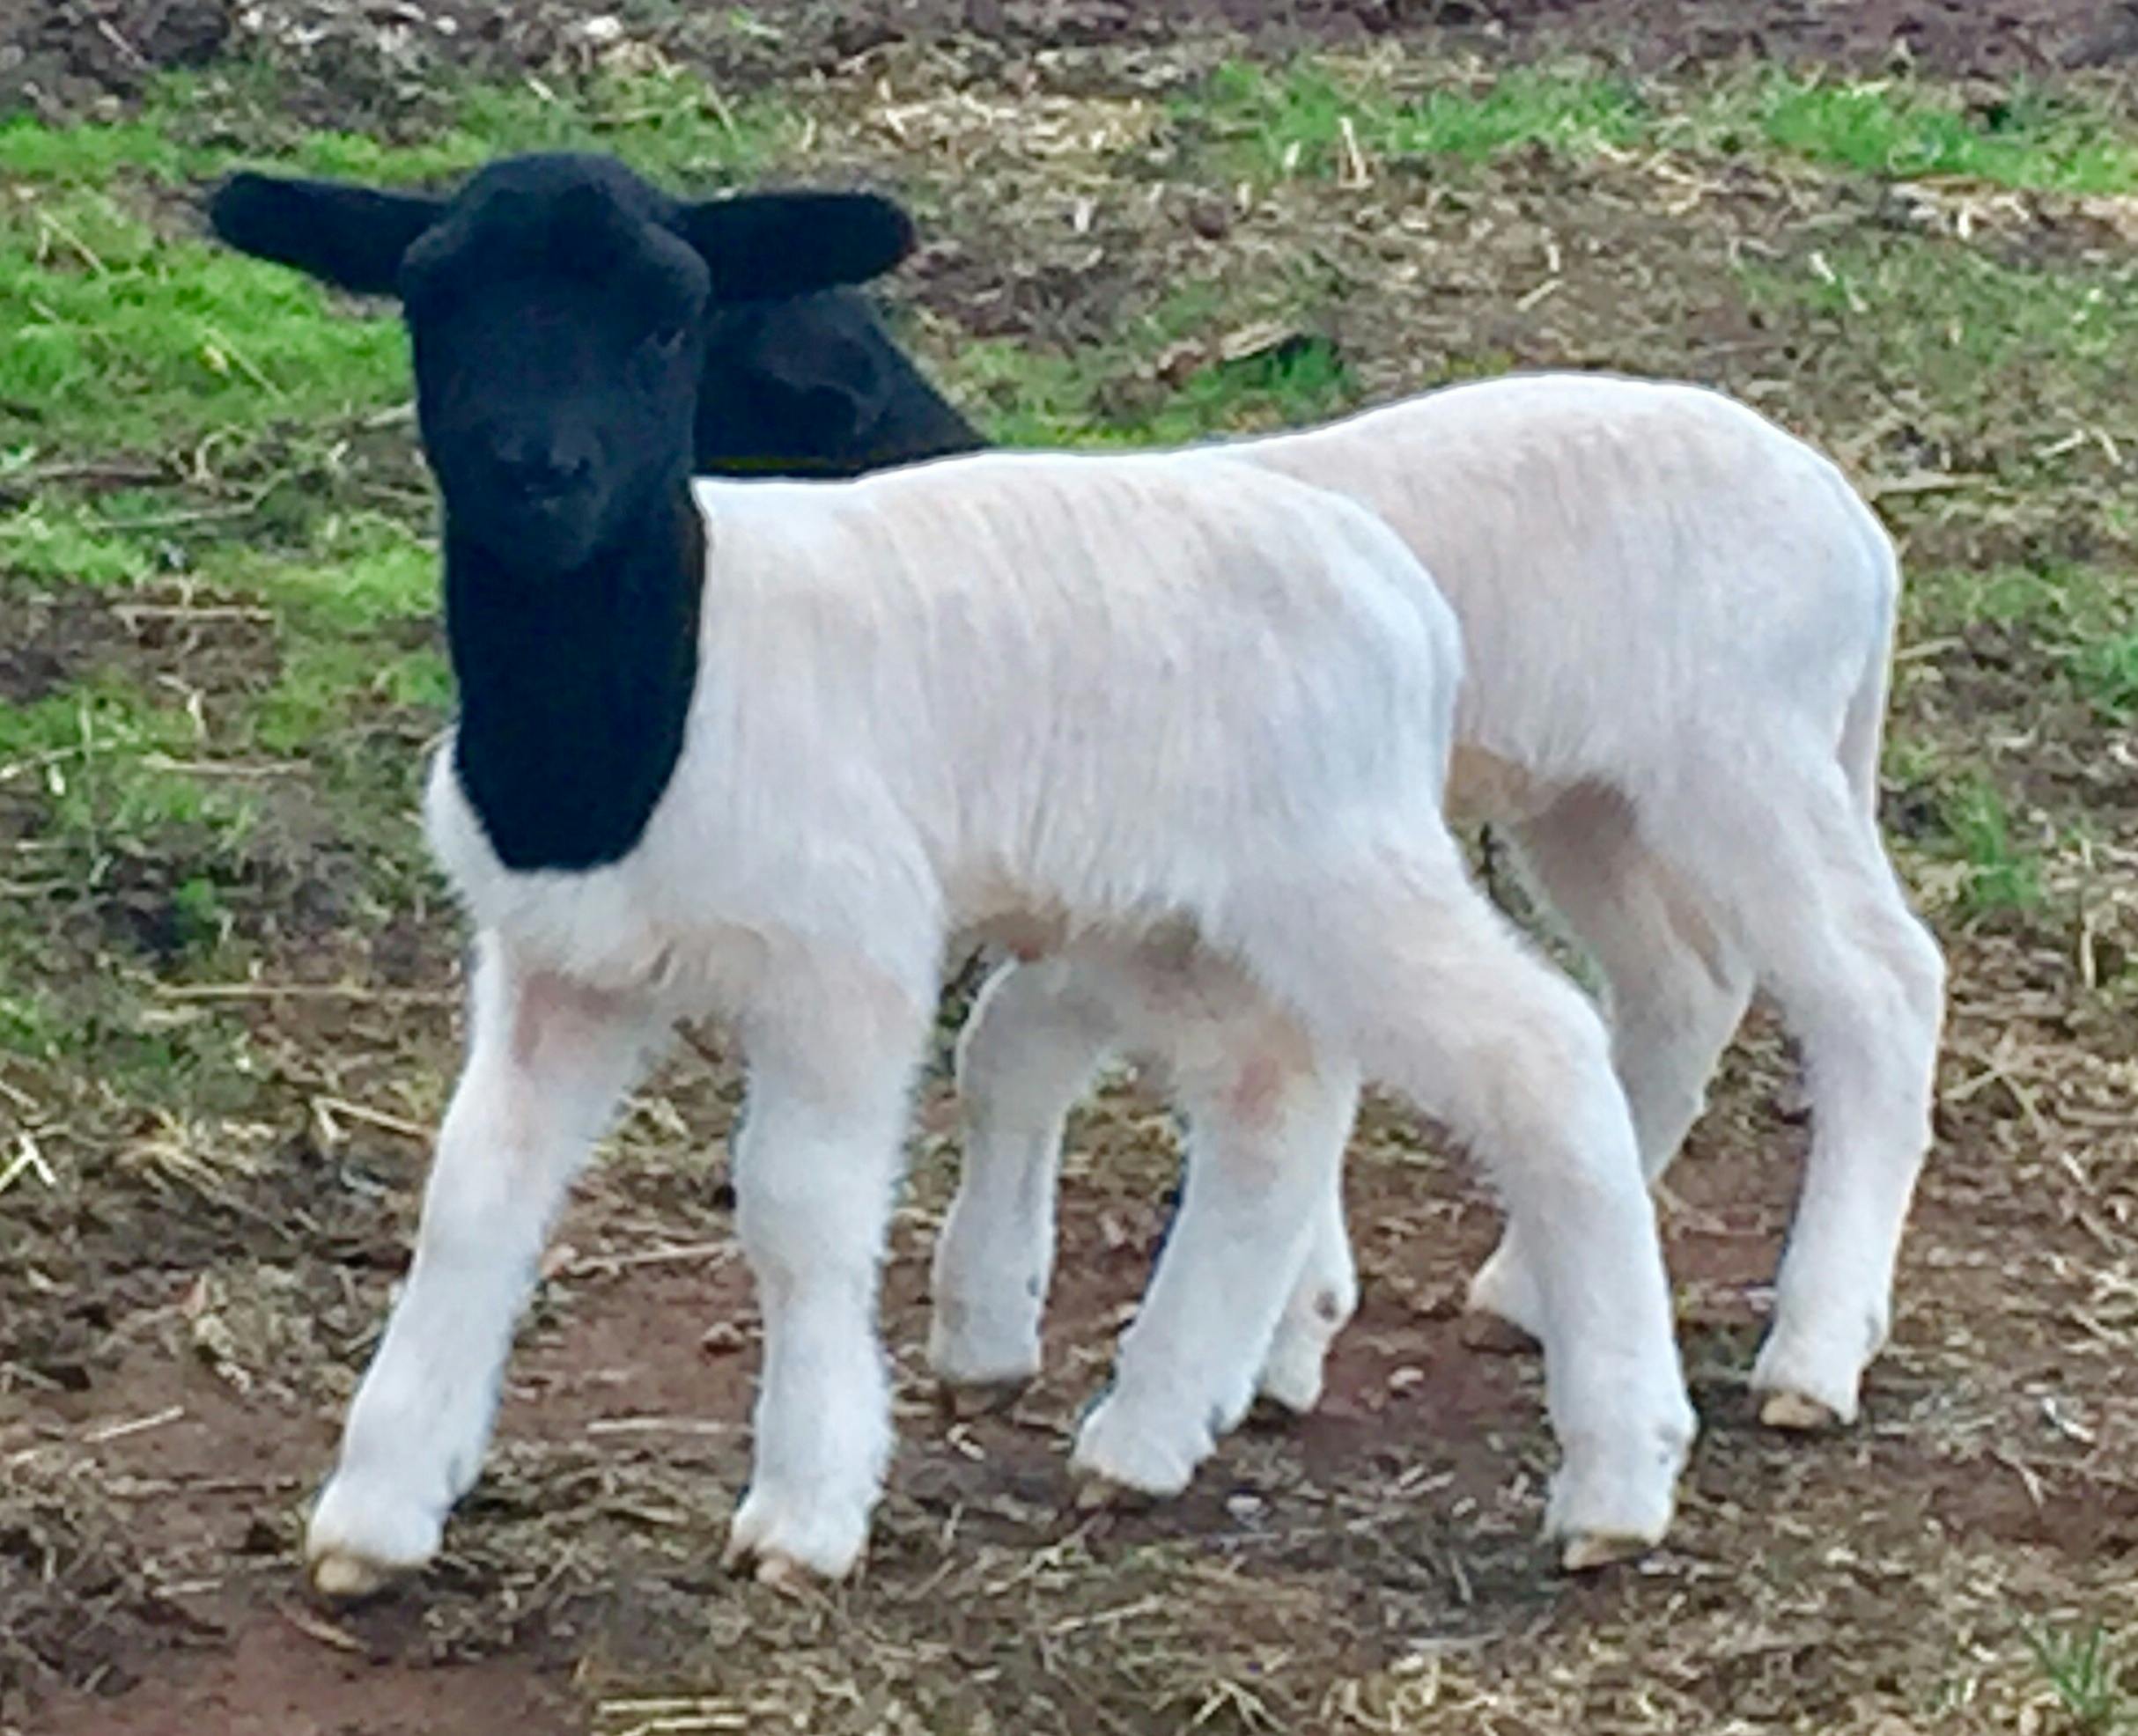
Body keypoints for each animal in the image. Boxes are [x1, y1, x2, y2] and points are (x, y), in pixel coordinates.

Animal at [206, 151, 1696, 1594]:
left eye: (671, 319)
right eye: (431, 301)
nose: (539, 473)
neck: (638, 720)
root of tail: (1402, 594)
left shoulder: (843, 959)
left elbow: (798, 1209)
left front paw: (805, 1510)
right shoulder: (559, 962)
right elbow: (473, 1199)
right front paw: (376, 1511)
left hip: (1340, 866)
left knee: (1543, 1053)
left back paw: (1619, 1477)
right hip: (1173, 916)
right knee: (1272, 1100)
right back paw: (1150, 1432)